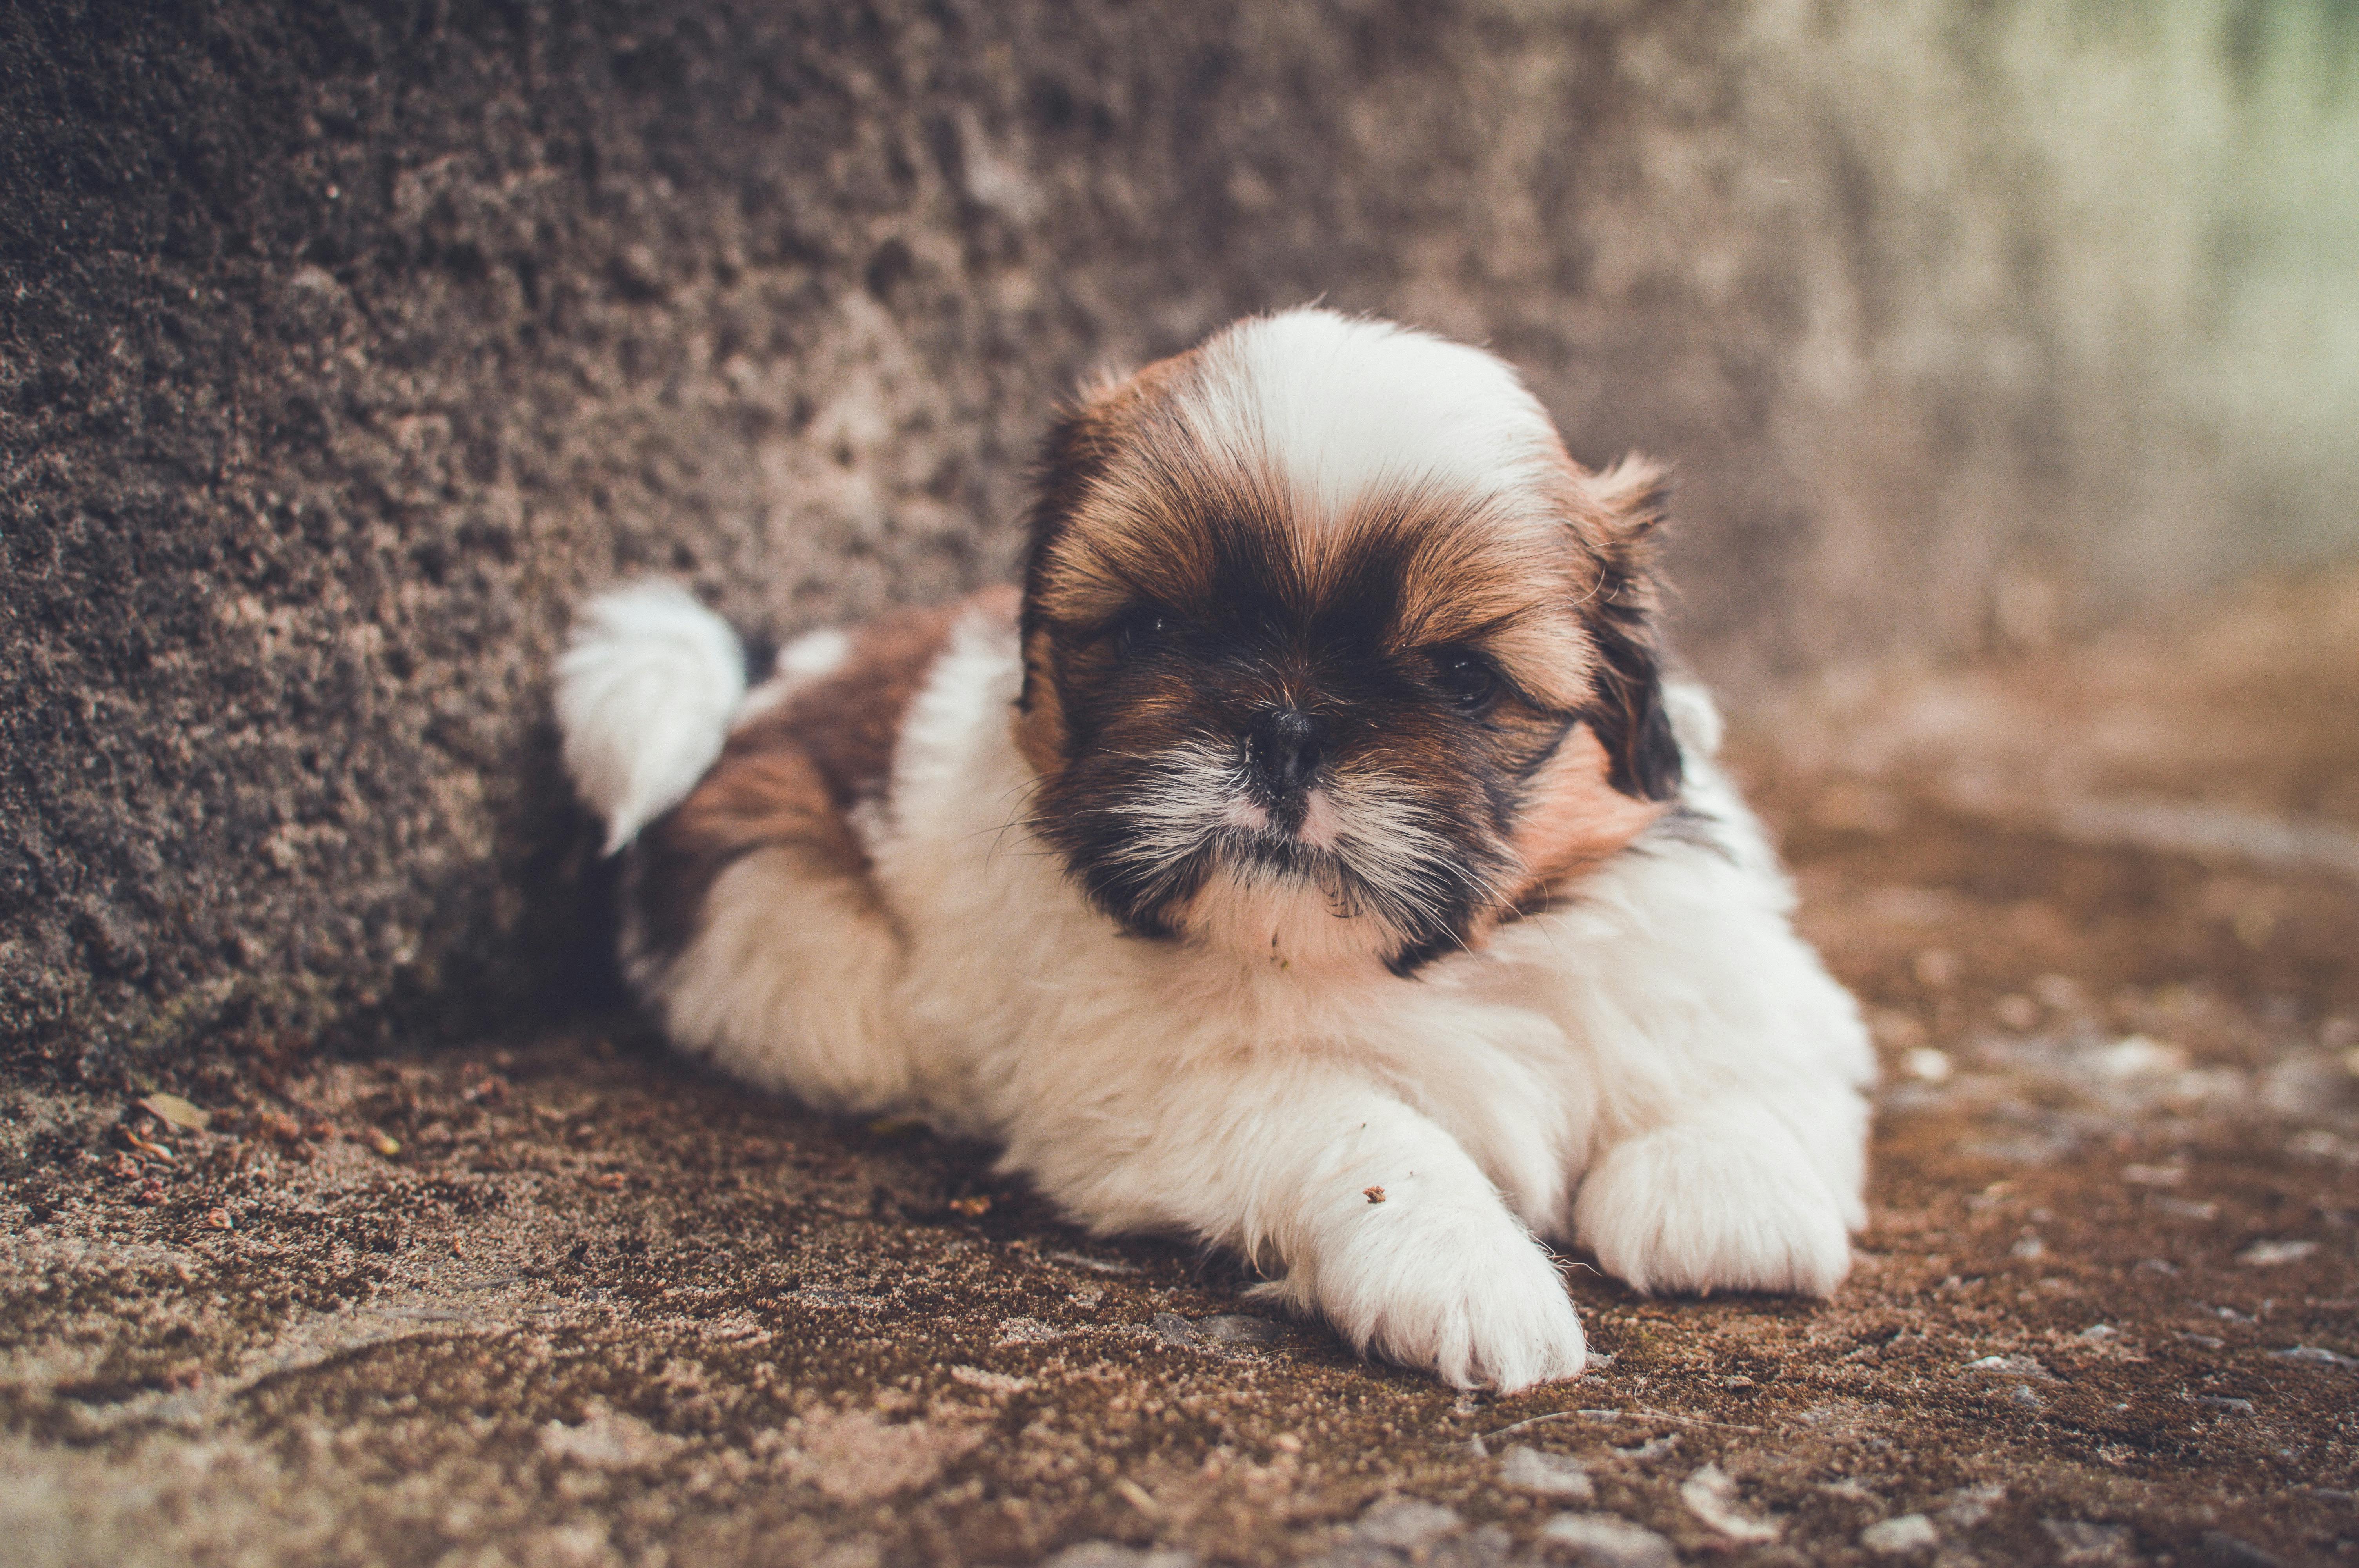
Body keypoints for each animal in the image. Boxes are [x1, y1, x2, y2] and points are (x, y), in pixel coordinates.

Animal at [561, 311, 1868, 1386]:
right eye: (1149, 630)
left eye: (1460, 676)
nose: (1284, 726)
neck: (1409, 967)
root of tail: (771, 686)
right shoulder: (1162, 1088)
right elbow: (1365, 1129)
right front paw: (1461, 1267)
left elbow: (1727, 1041)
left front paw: (1720, 1189)